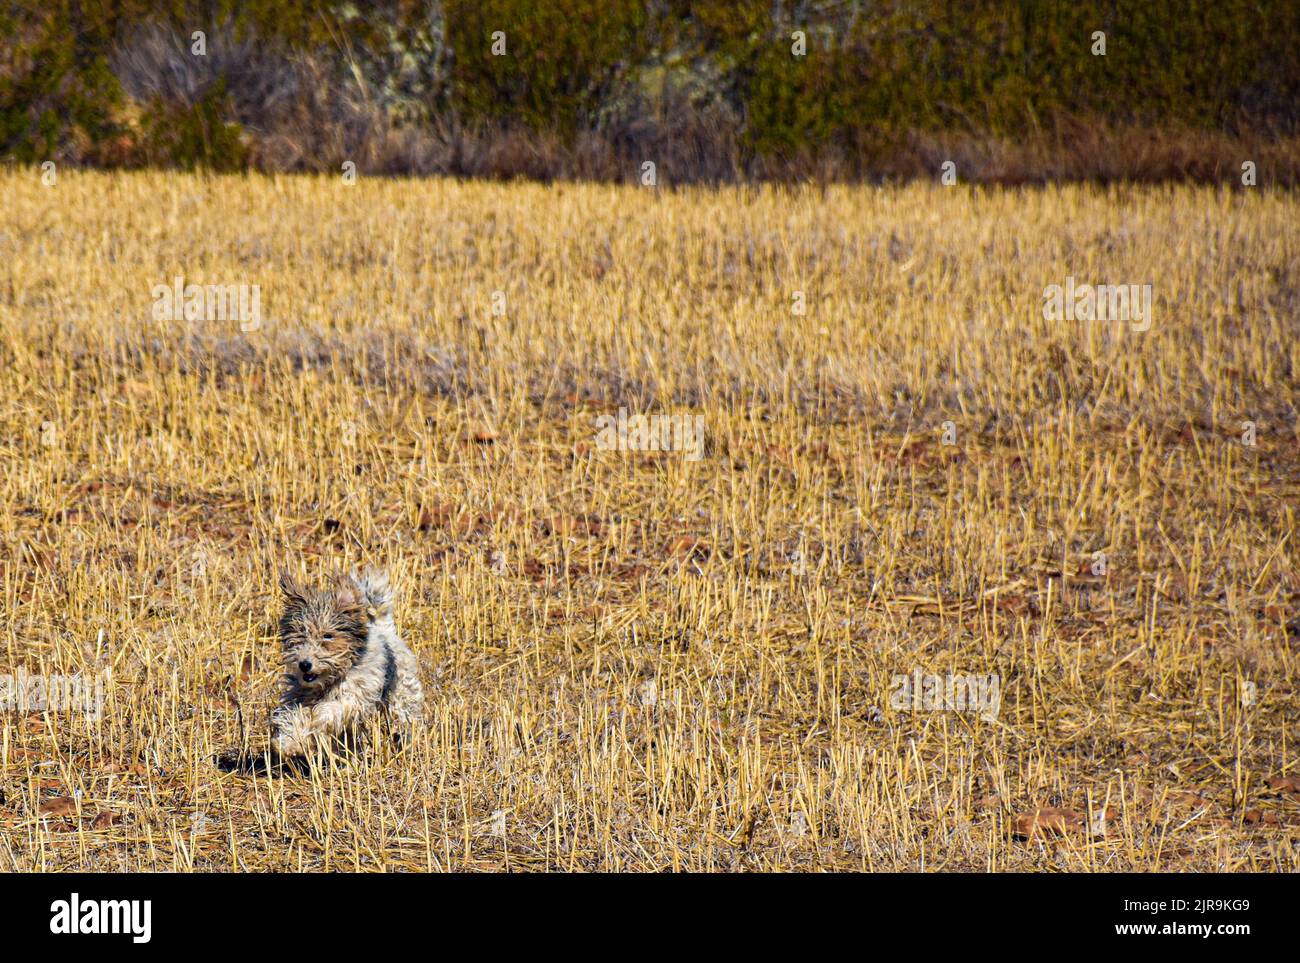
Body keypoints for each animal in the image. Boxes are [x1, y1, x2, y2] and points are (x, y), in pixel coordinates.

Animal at [271, 564, 423, 758]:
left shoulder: (356, 695)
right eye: (300, 635)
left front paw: (315, 721)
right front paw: (289, 743)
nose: (304, 664)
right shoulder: (297, 695)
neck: (328, 682)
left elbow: (331, 710)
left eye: (328, 635)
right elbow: (292, 715)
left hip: (402, 696)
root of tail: (384, 630)